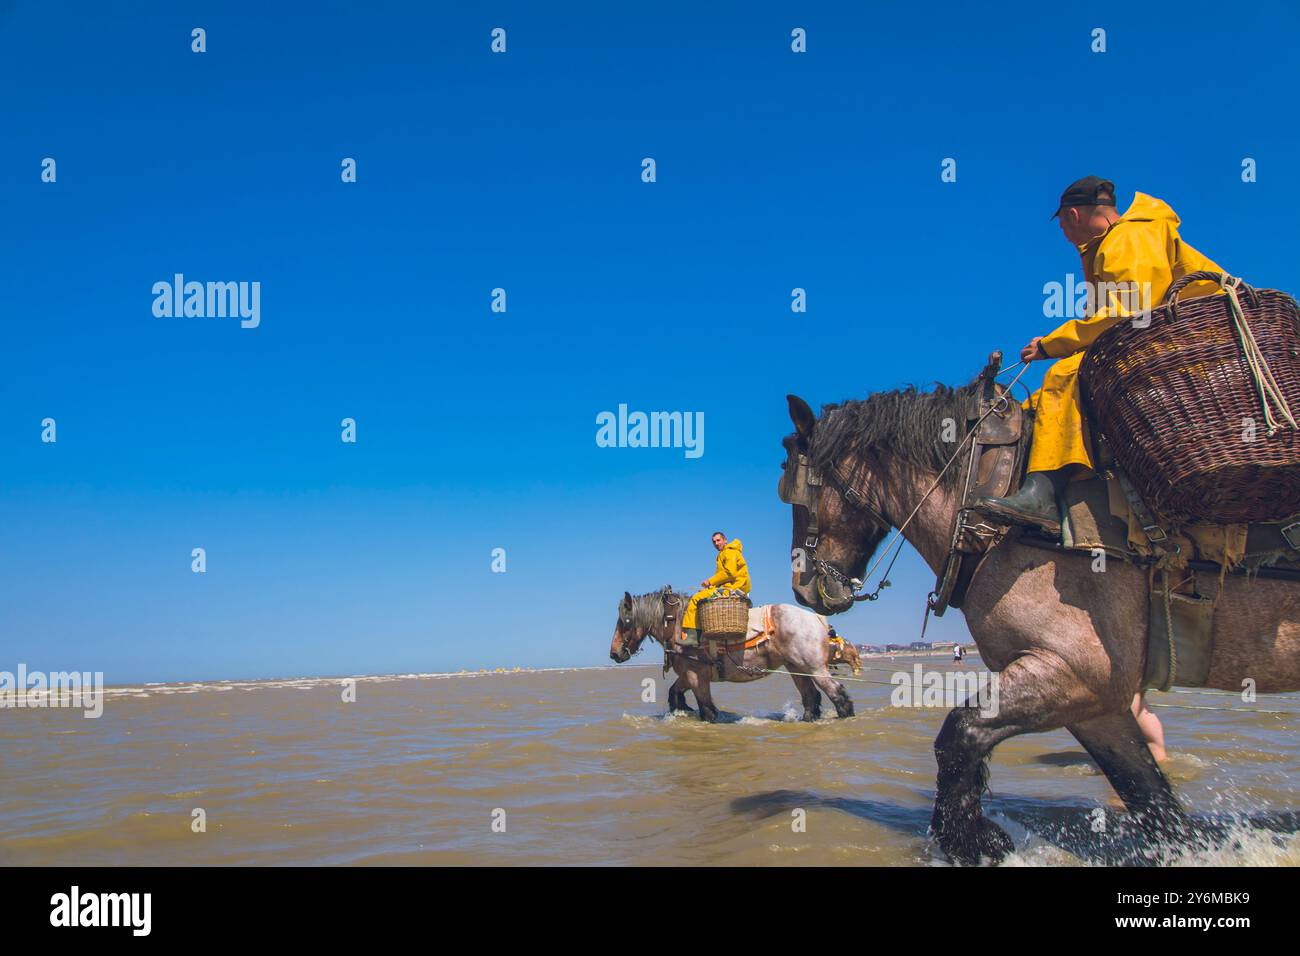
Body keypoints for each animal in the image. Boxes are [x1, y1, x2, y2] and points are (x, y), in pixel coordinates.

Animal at [608, 588, 859, 722]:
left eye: (625, 622)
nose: (614, 653)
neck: (677, 625)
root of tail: (817, 618)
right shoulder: (688, 675)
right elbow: (674, 694)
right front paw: (682, 710)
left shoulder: (696, 676)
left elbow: (707, 709)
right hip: (797, 668)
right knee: (811, 698)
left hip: (815, 669)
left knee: (838, 696)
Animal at [780, 385, 1300, 865]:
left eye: (799, 494)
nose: (801, 590)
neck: (984, 503)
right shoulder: (1098, 700)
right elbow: (1152, 800)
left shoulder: (1075, 671)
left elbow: (959, 735)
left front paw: (977, 844)